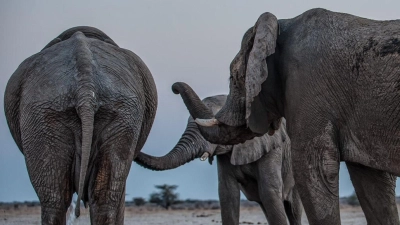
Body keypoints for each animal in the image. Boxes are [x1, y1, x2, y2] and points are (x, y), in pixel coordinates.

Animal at [173, 7, 400, 225]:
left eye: (233, 77)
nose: (174, 87)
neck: (281, 25)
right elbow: (372, 184)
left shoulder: (308, 86)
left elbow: (315, 169)